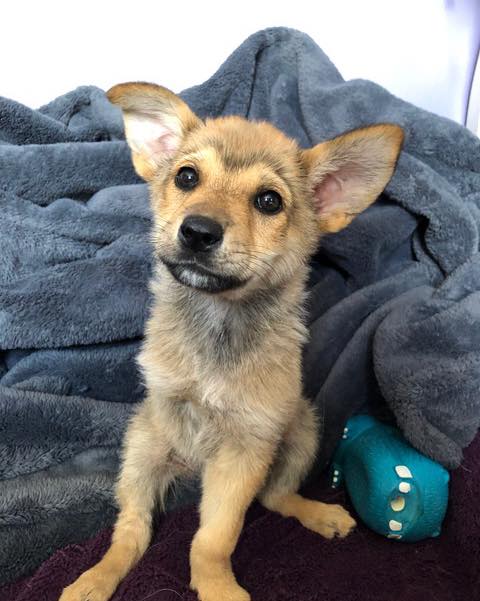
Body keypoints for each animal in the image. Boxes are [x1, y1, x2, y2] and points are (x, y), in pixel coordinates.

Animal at [59, 82, 403, 601]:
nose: (198, 231)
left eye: (269, 201)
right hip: (141, 450)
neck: (218, 320)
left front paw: (216, 584)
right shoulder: (169, 408)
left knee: (276, 496)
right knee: (132, 530)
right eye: (186, 177)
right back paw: (96, 578)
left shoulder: (246, 448)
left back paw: (319, 514)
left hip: (302, 430)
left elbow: (215, 535)